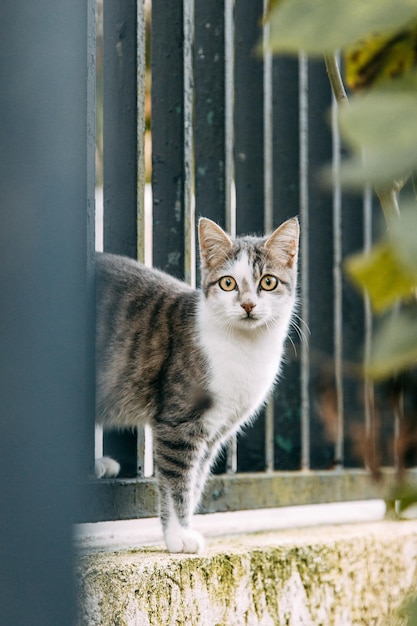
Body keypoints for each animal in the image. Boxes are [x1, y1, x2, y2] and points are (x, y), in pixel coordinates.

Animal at [94, 214, 298, 552]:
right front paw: (178, 536)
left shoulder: (215, 430)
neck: (246, 349)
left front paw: (183, 528)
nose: (248, 305)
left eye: (268, 281)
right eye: (228, 283)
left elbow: (196, 480)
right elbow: (176, 481)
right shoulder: (178, 422)